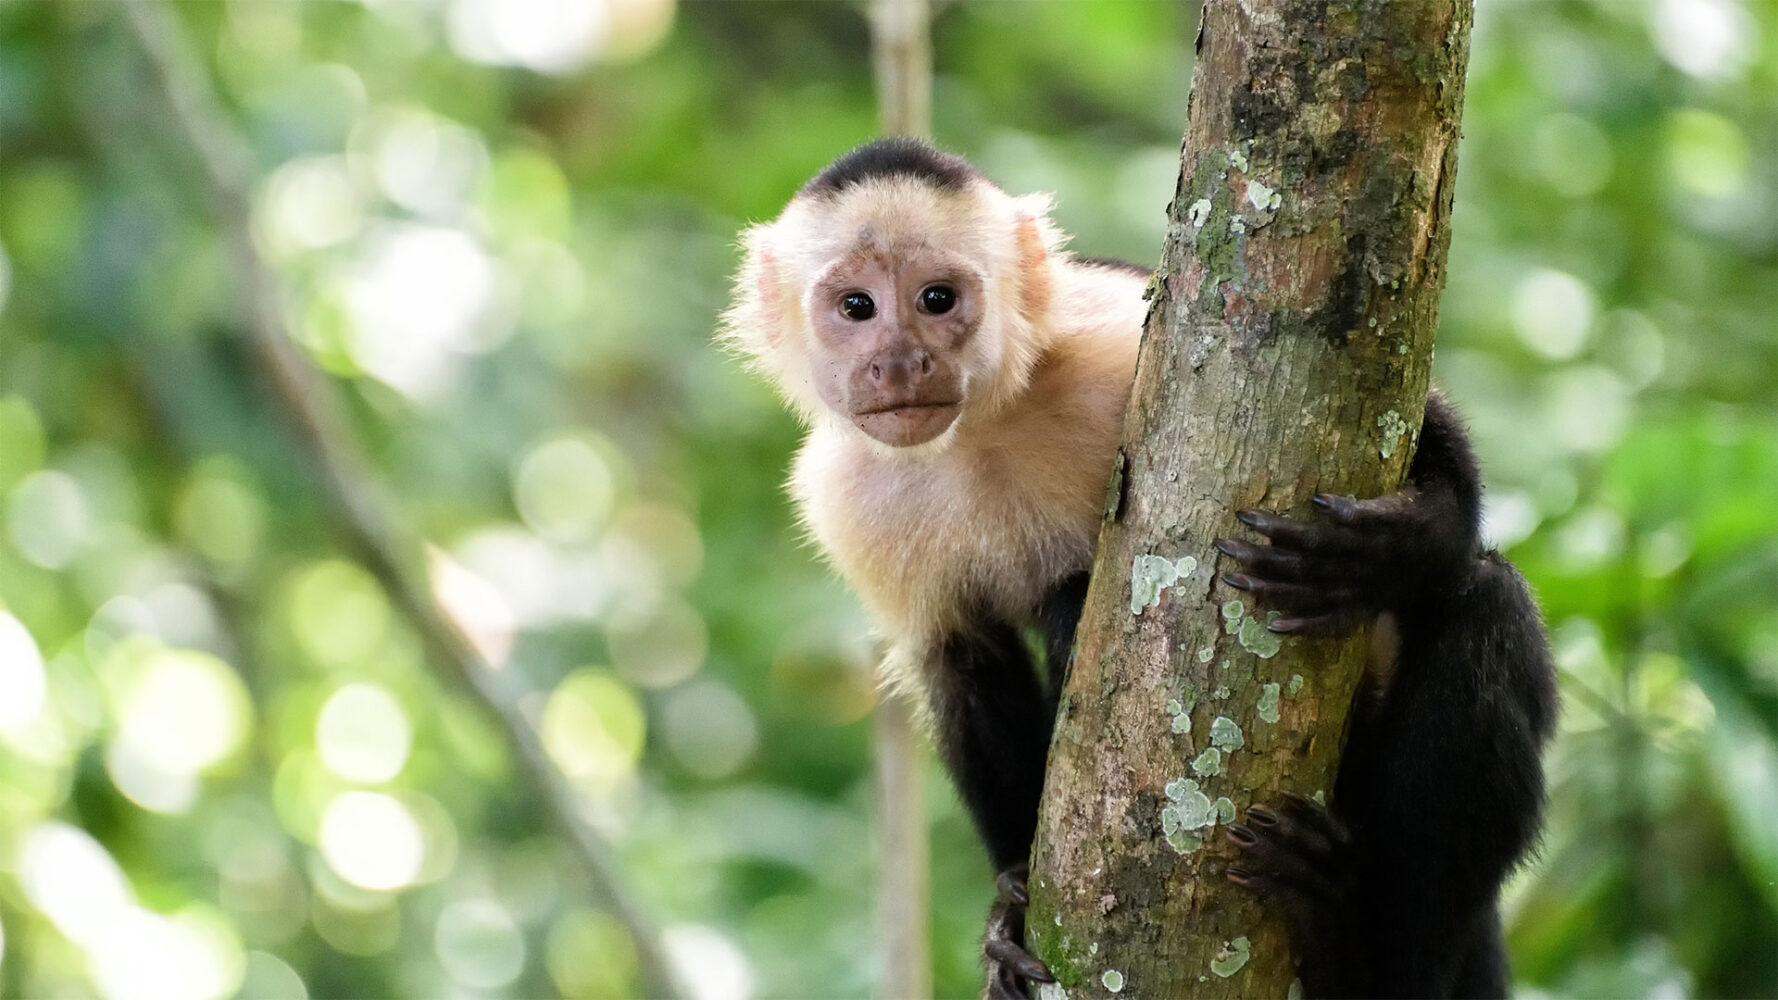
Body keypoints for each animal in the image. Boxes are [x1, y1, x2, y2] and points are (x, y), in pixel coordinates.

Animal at [721, 140, 1557, 996]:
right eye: (856, 307)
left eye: (936, 298)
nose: (899, 362)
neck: (977, 431)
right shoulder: (844, 498)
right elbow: (962, 662)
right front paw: (1009, 909)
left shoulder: (1111, 337)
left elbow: (1418, 418)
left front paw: (1399, 544)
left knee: (1485, 606)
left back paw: (1363, 954)